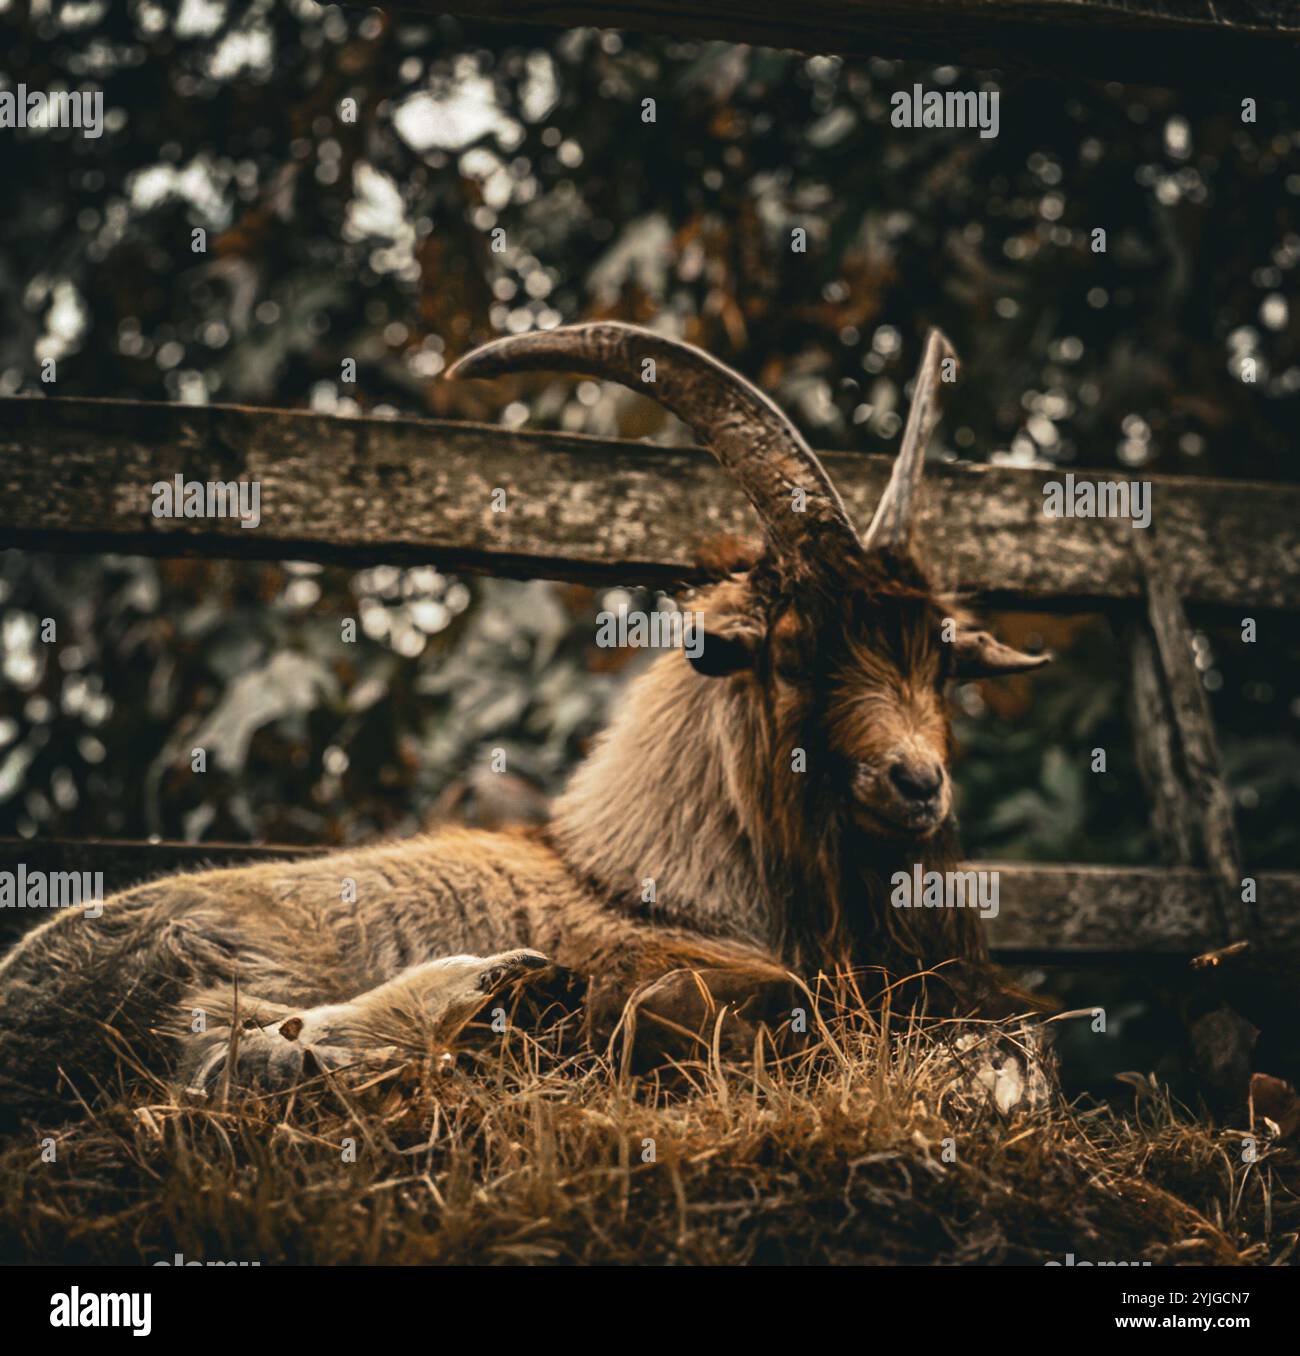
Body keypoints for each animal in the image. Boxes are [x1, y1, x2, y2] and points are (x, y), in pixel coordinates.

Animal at [0, 322, 1049, 1124]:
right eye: (793, 654)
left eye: (941, 664)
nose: (916, 784)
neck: (644, 880)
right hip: (202, 961)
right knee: (226, 1059)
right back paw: (474, 999)